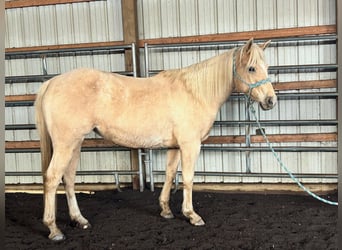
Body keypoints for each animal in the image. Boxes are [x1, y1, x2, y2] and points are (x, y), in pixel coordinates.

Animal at [35, 38, 276, 240]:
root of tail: (51, 83)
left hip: (75, 144)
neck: (195, 93)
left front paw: (166, 210)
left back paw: (80, 220)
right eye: (251, 68)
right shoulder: (190, 145)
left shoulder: (175, 147)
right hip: (65, 145)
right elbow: (188, 179)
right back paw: (54, 229)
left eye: (267, 68)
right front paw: (192, 215)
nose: (271, 101)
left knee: (68, 179)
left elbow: (170, 174)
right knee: (52, 178)